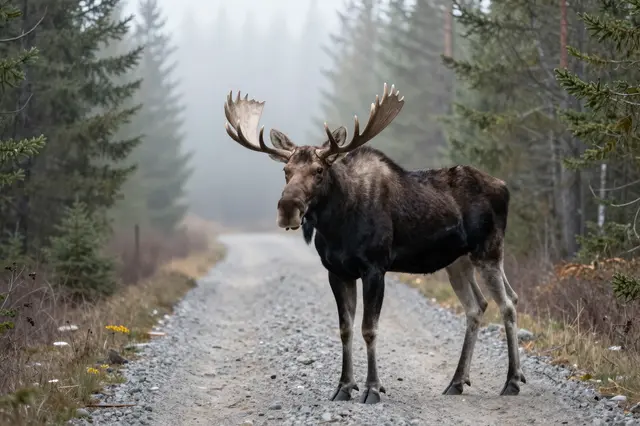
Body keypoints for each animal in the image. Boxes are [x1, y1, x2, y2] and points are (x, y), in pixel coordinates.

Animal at [222, 83, 525, 404]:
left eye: (319, 170)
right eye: (286, 171)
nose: (287, 209)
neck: (337, 228)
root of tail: (504, 187)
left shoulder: (375, 268)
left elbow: (369, 328)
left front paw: (372, 388)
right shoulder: (337, 271)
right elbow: (345, 329)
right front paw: (344, 386)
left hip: (488, 250)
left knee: (507, 303)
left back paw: (512, 380)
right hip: (458, 261)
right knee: (478, 306)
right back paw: (457, 381)